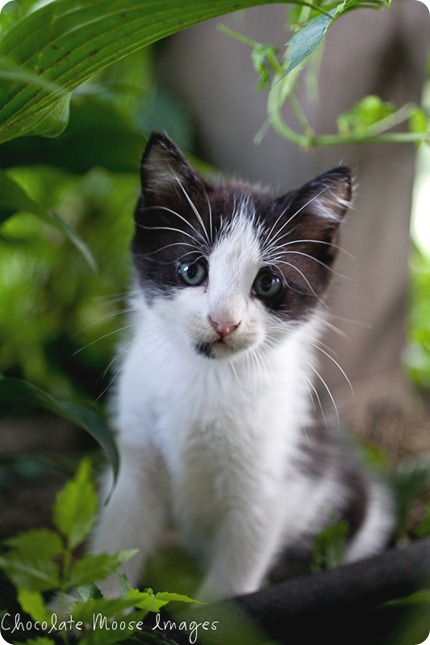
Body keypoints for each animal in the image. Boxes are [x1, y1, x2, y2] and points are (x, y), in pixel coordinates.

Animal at [90, 133, 394, 600]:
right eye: (192, 269)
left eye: (267, 283)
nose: (223, 321)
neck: (208, 378)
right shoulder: (133, 460)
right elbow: (118, 537)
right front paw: (83, 605)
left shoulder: (269, 485)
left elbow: (233, 579)